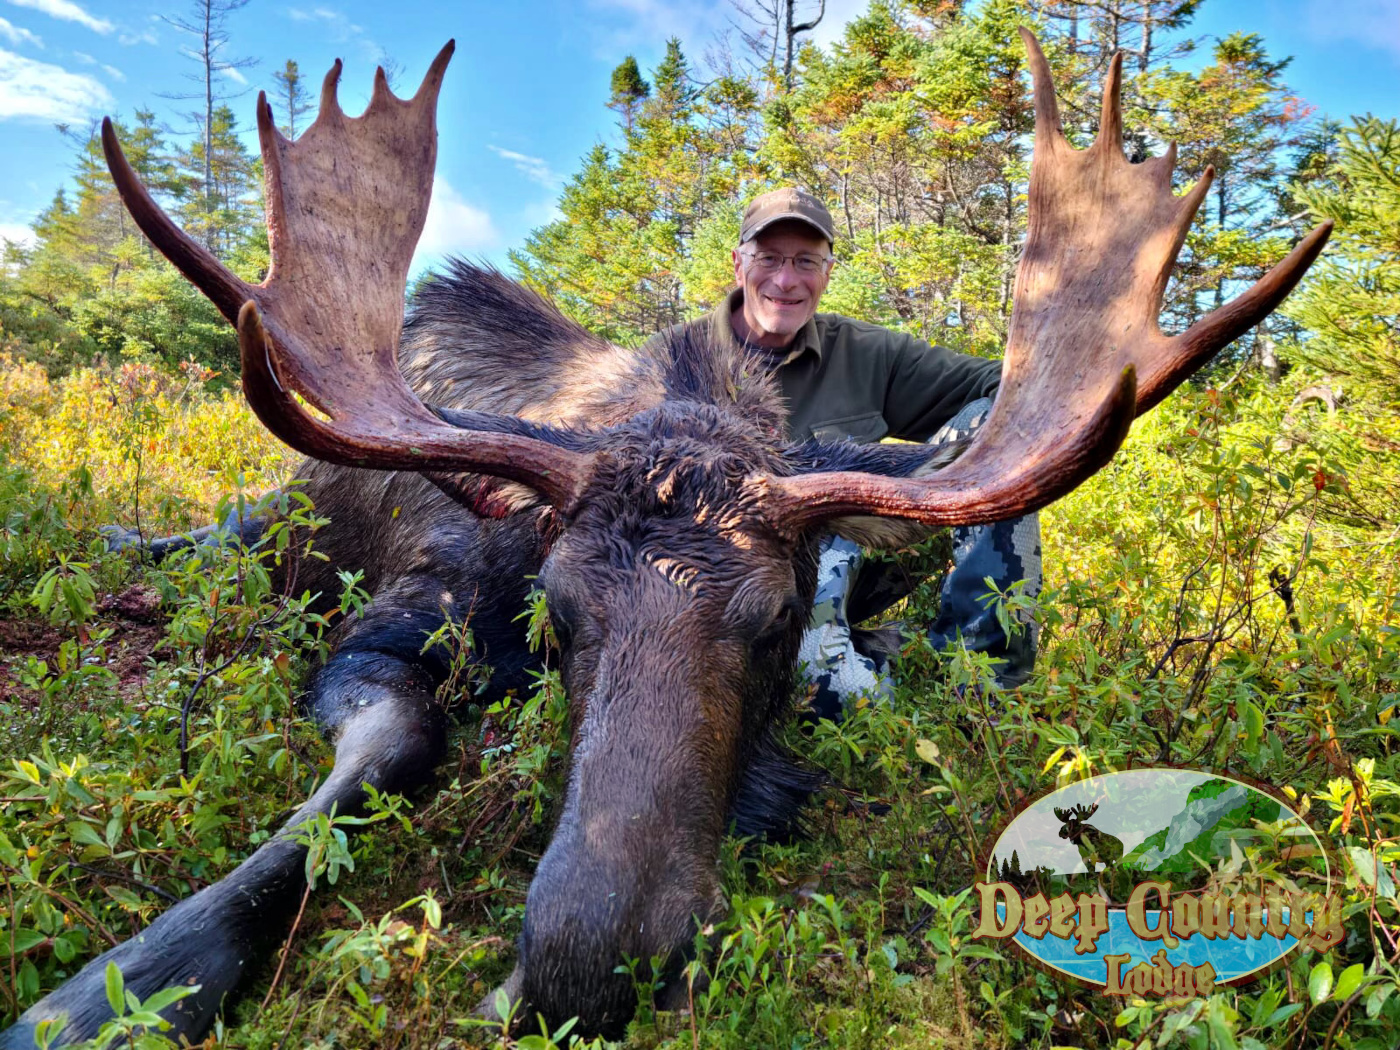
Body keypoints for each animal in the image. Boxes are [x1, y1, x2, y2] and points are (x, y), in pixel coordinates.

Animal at [0, 29, 1330, 1047]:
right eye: (557, 606)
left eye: (776, 619)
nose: (590, 970)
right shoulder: (390, 625)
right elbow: (381, 758)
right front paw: (116, 990)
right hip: (257, 526)